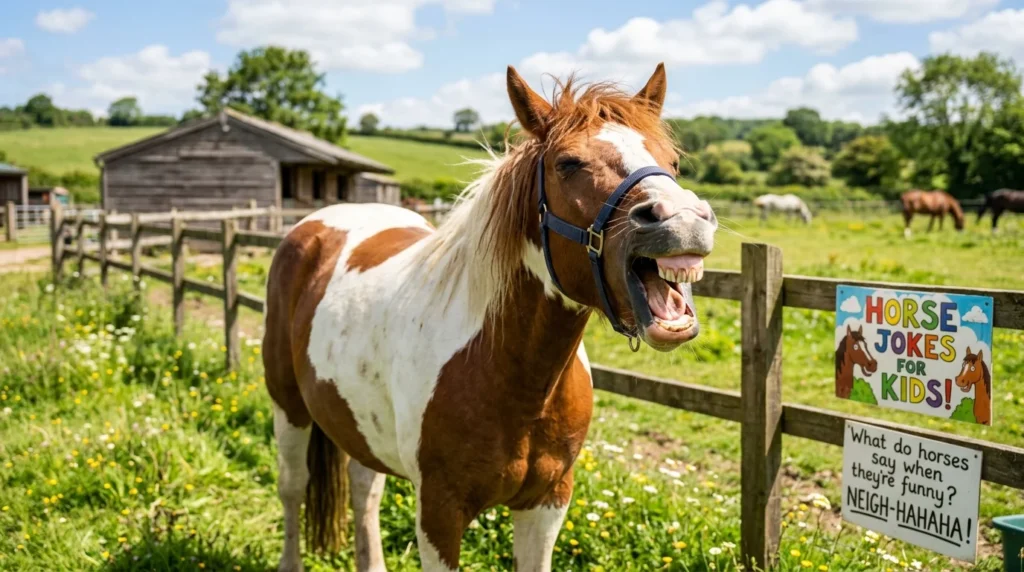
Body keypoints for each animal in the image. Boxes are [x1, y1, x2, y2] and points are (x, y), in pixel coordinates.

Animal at [262, 63, 717, 571]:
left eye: (672, 162)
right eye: (568, 163)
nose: (682, 218)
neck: (513, 377)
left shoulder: (547, 504)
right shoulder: (438, 514)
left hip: (357, 421)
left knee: (365, 492)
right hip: (288, 406)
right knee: (292, 488)